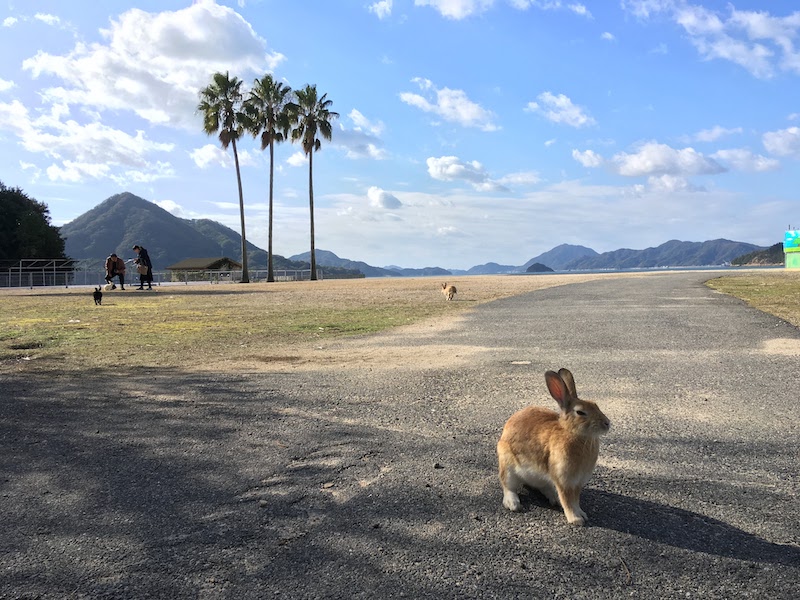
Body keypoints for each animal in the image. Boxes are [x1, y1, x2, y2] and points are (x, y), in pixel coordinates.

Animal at [494, 366, 612, 524]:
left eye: (595, 405)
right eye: (580, 412)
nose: (607, 423)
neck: (572, 433)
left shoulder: (577, 482)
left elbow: (575, 500)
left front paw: (582, 514)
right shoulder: (564, 480)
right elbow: (568, 501)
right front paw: (576, 519)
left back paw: (554, 498)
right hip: (507, 464)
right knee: (508, 486)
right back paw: (513, 504)